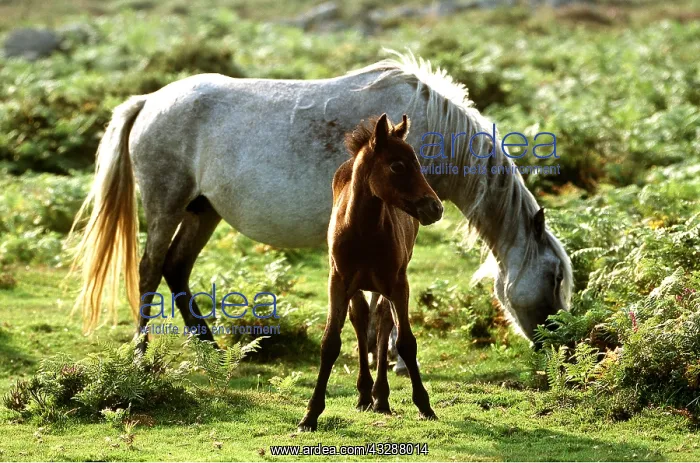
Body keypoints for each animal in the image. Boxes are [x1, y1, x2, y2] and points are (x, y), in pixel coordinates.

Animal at [69, 51, 572, 355]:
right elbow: (385, 303)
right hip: (166, 205)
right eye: (553, 277)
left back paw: (208, 348)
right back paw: (141, 353)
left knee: (176, 268)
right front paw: (391, 359)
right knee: (150, 268)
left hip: (202, 210)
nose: (561, 345)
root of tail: (150, 100)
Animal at [298, 113, 443, 431]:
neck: (363, 231)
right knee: (361, 319)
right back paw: (365, 394)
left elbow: (405, 342)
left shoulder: (398, 283)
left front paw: (424, 406)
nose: (435, 207)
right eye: (397, 165)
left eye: (418, 162)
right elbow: (330, 343)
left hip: (383, 284)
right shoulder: (337, 282)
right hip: (356, 285)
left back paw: (380, 398)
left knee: (382, 320)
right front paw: (310, 415)